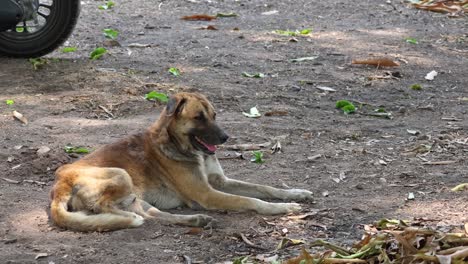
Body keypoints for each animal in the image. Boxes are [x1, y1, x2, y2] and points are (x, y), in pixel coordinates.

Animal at [49, 92, 312, 231]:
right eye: (199, 117)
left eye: (214, 115)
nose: (226, 138)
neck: (183, 147)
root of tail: (59, 182)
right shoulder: (208, 193)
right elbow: (250, 200)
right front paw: (282, 208)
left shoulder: (220, 181)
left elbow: (264, 187)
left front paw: (294, 194)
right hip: (121, 176)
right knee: (105, 207)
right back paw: (127, 218)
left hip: (137, 197)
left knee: (152, 216)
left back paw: (196, 220)